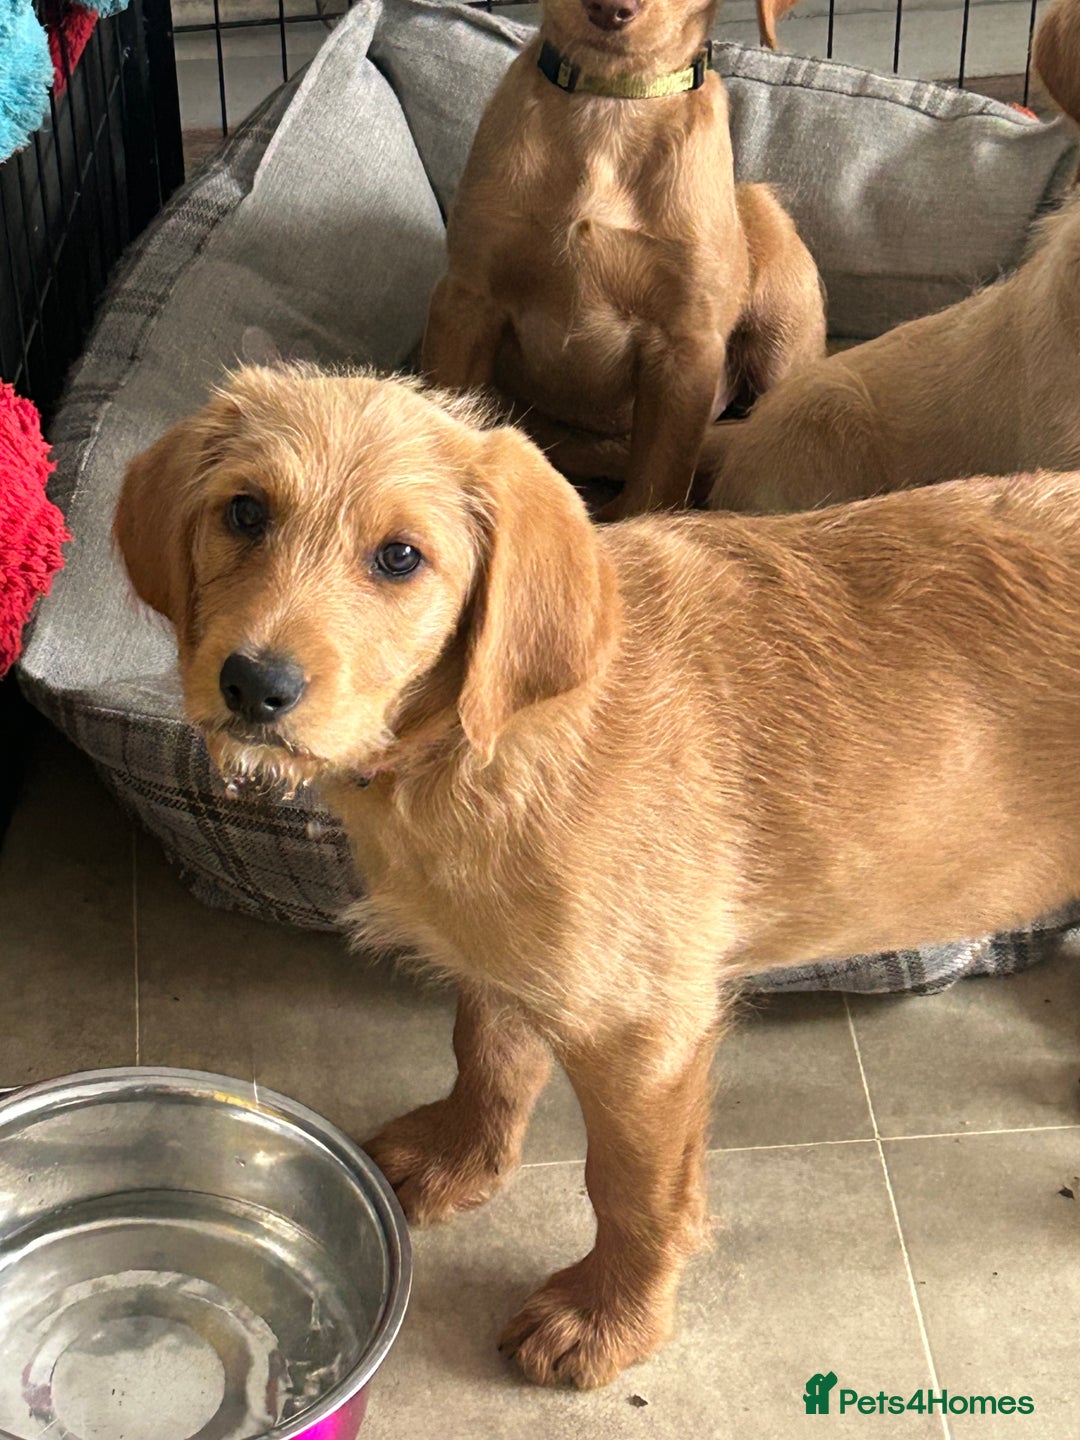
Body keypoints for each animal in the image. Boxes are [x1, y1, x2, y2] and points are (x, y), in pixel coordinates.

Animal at [116, 366, 1080, 1388]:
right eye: (245, 512)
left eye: (399, 558)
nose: (255, 686)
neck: (475, 743)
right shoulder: (506, 950)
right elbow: (486, 1050)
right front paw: (461, 1159)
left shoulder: (641, 1030)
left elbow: (631, 1187)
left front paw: (610, 1317)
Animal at [422, 0, 825, 520]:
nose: (609, 9)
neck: (612, 104)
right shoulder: (468, 300)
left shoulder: (685, 347)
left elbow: (656, 483)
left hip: (774, 268)